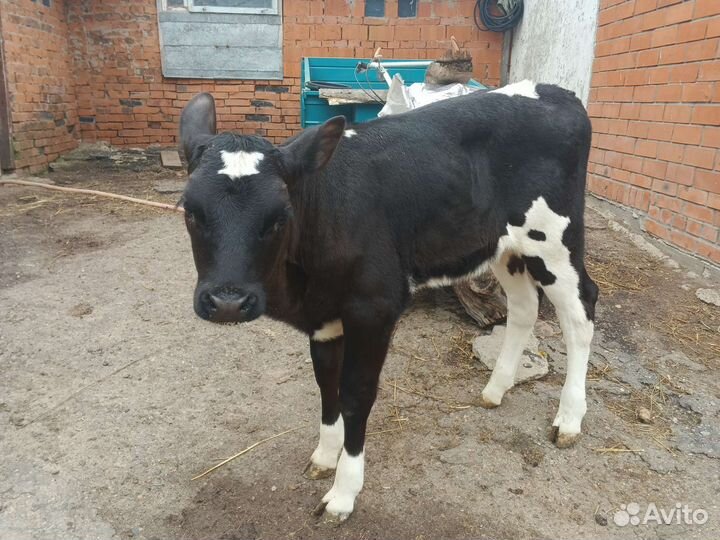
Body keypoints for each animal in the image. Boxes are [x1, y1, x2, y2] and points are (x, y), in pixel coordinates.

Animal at [177, 80, 598, 522]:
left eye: (279, 216)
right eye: (190, 211)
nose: (227, 301)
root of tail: (552, 90)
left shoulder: (374, 306)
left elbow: (356, 393)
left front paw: (343, 491)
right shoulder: (323, 316)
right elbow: (326, 383)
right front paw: (324, 455)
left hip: (555, 241)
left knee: (580, 313)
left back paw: (569, 419)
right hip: (505, 246)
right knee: (523, 308)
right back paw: (496, 389)